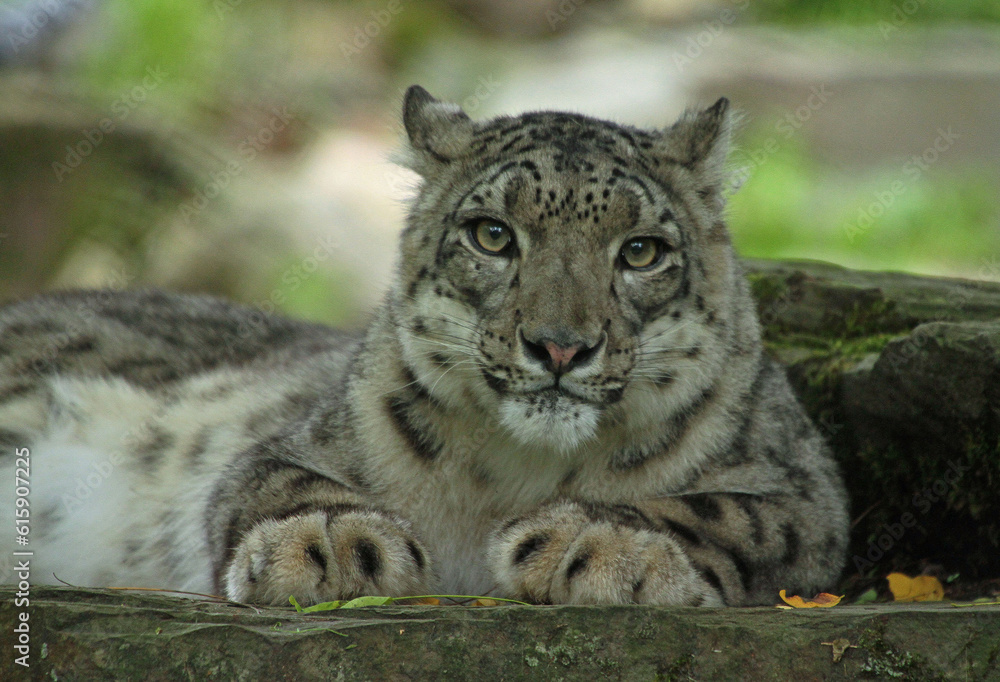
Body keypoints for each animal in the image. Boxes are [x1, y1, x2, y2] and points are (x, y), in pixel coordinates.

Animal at [0, 85, 848, 606]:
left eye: (641, 251)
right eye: (492, 234)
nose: (560, 347)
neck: (515, 476)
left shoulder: (805, 491)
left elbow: (726, 513)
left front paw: (604, 546)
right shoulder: (293, 442)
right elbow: (276, 482)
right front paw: (332, 545)